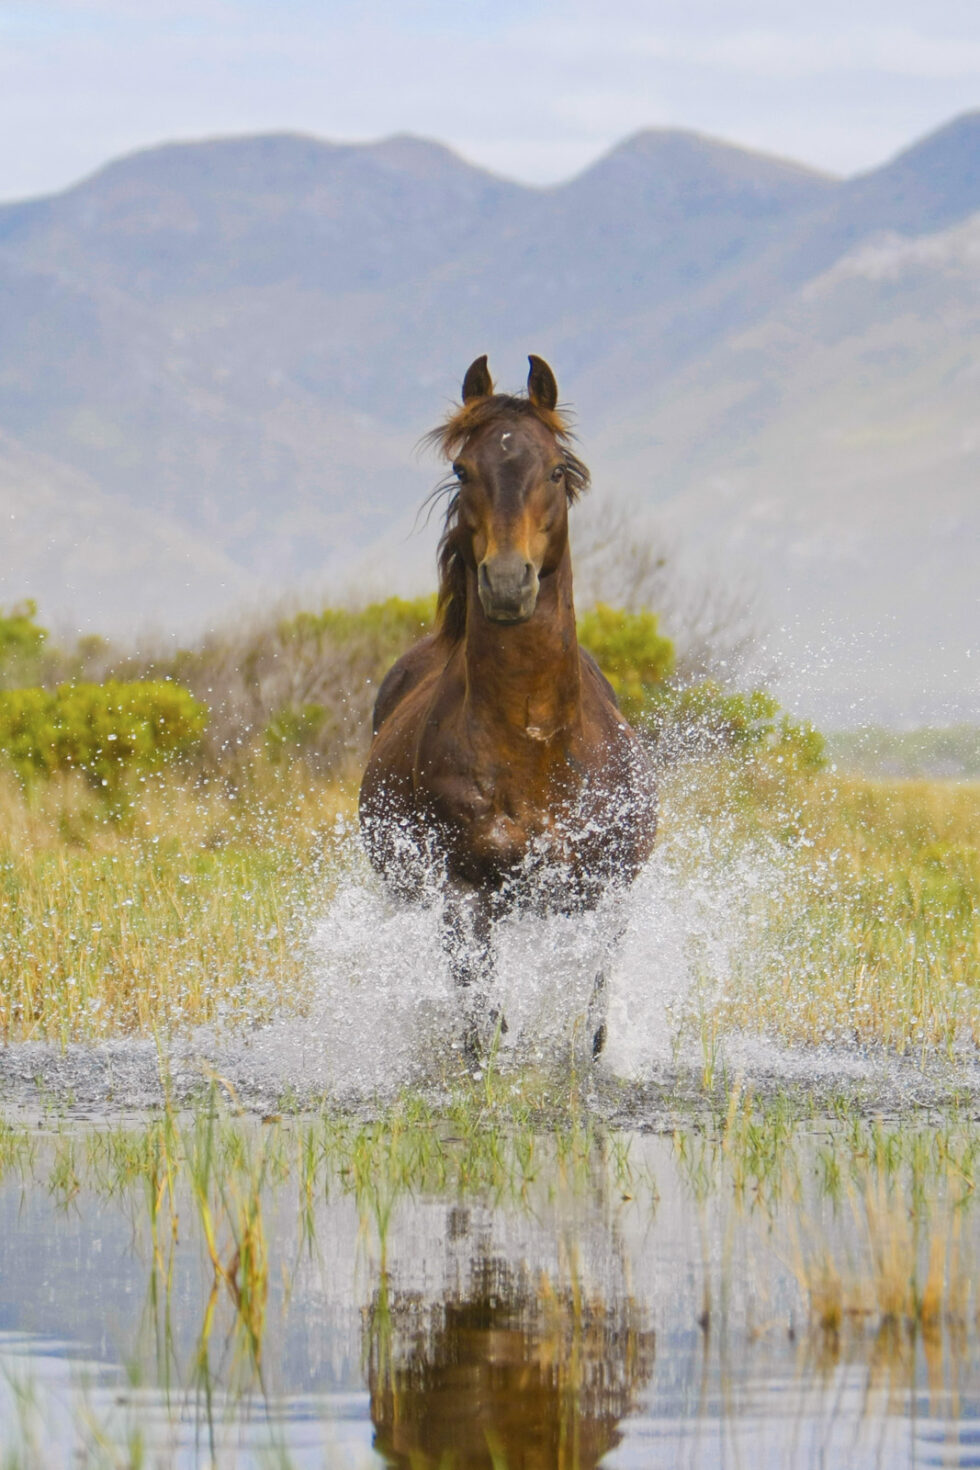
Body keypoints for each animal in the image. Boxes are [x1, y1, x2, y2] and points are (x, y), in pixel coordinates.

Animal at [359, 355, 657, 1063]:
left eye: (555, 469)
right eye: (463, 470)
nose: (506, 582)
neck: (532, 742)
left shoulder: (605, 893)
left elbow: (593, 1013)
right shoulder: (464, 892)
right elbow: (481, 1018)